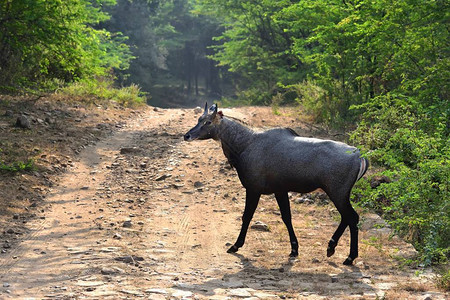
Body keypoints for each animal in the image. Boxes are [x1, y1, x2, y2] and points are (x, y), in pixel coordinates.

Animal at [184, 103, 370, 264]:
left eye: (208, 122)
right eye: (199, 119)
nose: (187, 135)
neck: (245, 144)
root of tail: (360, 156)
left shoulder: (253, 188)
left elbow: (247, 216)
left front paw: (236, 246)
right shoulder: (280, 190)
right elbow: (287, 217)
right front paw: (294, 249)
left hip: (337, 191)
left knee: (352, 217)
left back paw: (349, 257)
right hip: (339, 193)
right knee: (347, 217)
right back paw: (331, 247)